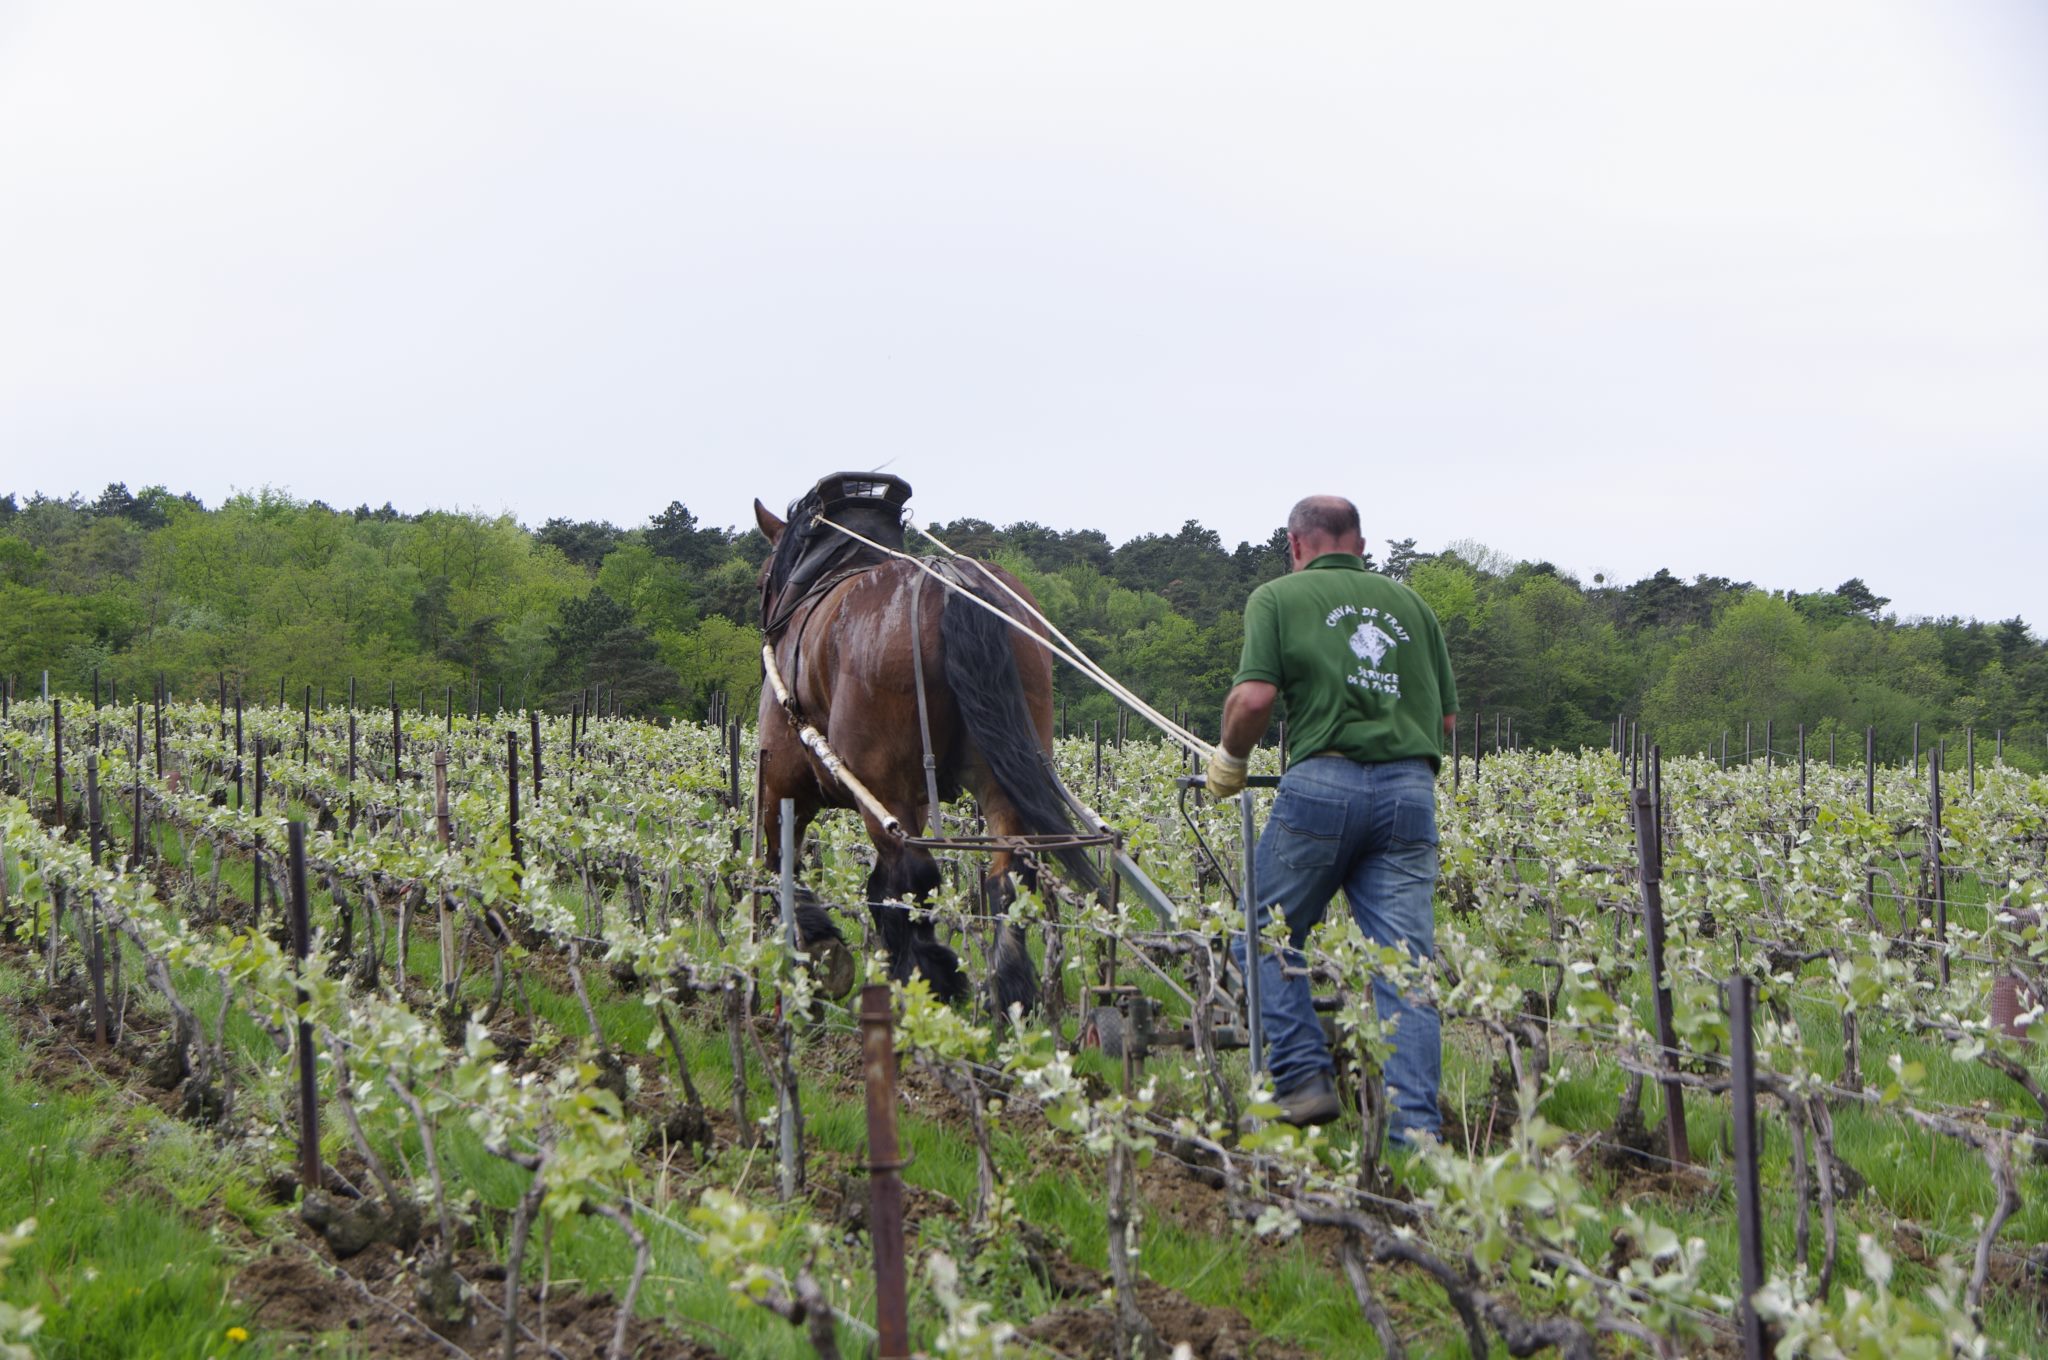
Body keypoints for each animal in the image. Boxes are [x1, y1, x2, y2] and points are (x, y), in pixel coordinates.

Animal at [757, 473, 1105, 1015]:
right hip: (1001, 774)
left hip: (883, 786)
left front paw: (820, 948)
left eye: (759, 580)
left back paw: (927, 979)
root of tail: (949, 579)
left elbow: (783, 868)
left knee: (915, 875)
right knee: (1007, 875)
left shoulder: (780, 782)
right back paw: (1008, 992)